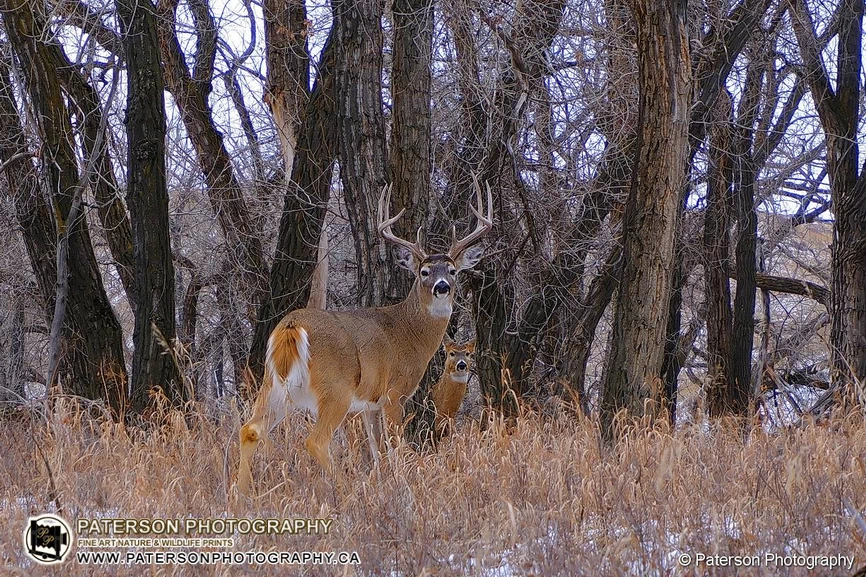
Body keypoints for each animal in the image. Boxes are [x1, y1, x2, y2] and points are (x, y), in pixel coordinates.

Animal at [237, 177, 493, 496]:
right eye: (424, 271)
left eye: (453, 270)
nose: (442, 286)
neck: (409, 333)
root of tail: (291, 327)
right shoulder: (394, 392)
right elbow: (396, 446)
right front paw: (403, 487)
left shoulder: (370, 403)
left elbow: (377, 450)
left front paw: (385, 485)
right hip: (335, 389)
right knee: (315, 441)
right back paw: (345, 491)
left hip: (273, 384)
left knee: (250, 429)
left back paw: (239, 496)